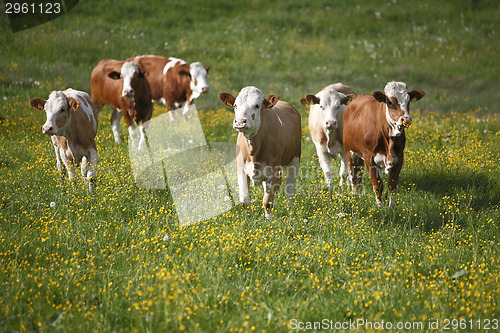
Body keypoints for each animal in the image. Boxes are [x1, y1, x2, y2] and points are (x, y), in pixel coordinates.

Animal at [220, 85, 302, 218]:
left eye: (257, 105)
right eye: (235, 105)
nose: (240, 121)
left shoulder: (274, 171)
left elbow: (267, 201)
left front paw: (268, 219)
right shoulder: (241, 169)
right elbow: (245, 201)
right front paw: (248, 219)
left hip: (295, 160)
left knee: (290, 190)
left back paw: (290, 211)